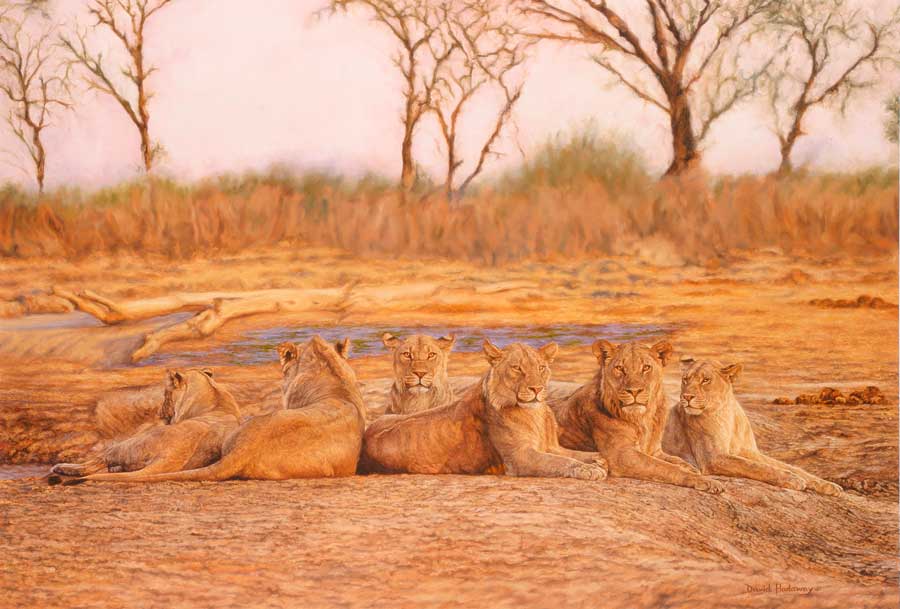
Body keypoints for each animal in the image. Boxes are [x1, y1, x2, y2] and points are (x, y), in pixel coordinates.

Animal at [49, 368, 241, 481]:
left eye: (165, 394)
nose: (160, 412)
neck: (214, 394)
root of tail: (170, 455)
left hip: (128, 443)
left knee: (94, 463)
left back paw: (62, 468)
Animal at [359, 339, 608, 481]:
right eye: (517, 368)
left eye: (541, 368)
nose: (537, 389)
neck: (534, 412)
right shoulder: (519, 458)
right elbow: (560, 462)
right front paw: (590, 470)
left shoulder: (550, 446)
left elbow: (575, 454)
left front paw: (598, 460)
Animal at [551, 340, 723, 493]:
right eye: (620, 368)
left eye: (646, 367)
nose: (634, 391)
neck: (643, 418)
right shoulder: (621, 455)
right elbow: (666, 468)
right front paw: (705, 481)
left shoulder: (655, 451)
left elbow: (676, 461)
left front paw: (693, 469)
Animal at [662, 358, 843, 495]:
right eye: (685, 379)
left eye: (706, 380)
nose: (686, 396)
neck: (725, 414)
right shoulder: (713, 458)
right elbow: (756, 467)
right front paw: (792, 480)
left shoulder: (749, 452)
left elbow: (786, 466)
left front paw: (827, 485)